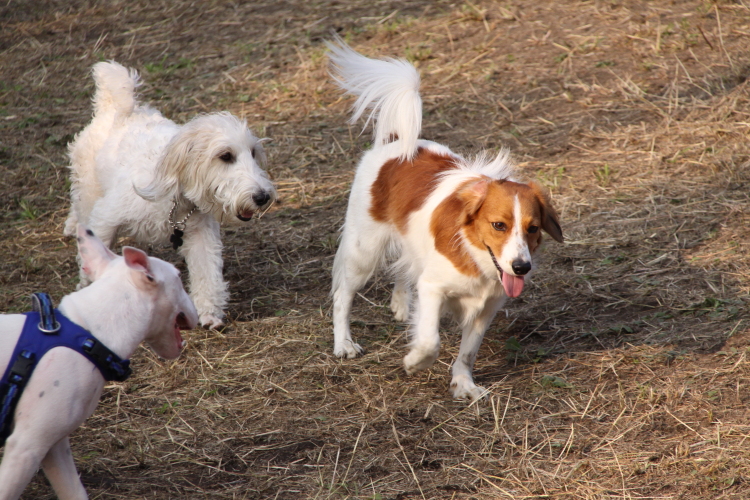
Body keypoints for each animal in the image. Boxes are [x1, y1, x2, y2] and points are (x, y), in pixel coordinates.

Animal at [64, 61, 276, 328]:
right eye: (225, 156)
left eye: (253, 153)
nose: (262, 197)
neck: (176, 195)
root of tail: (119, 109)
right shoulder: (106, 218)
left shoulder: (200, 234)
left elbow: (207, 274)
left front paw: (209, 314)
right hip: (88, 191)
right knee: (79, 208)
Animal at [328, 37, 564, 400]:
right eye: (499, 225)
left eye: (533, 228)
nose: (521, 268)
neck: (477, 258)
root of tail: (397, 143)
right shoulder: (433, 289)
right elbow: (430, 341)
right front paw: (414, 362)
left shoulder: (487, 307)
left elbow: (468, 351)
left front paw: (464, 384)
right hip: (363, 252)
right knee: (343, 295)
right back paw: (344, 344)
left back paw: (400, 304)